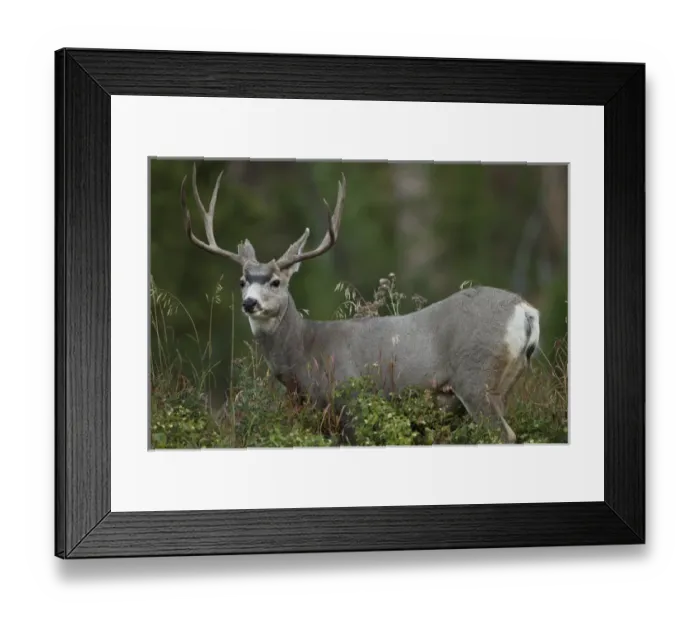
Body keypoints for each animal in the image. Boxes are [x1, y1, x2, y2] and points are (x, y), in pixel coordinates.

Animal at [179, 163, 541, 445]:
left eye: (276, 282)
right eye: (242, 282)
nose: (250, 303)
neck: (306, 351)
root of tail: (526, 310)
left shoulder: (351, 401)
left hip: (476, 377)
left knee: (505, 434)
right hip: (504, 383)